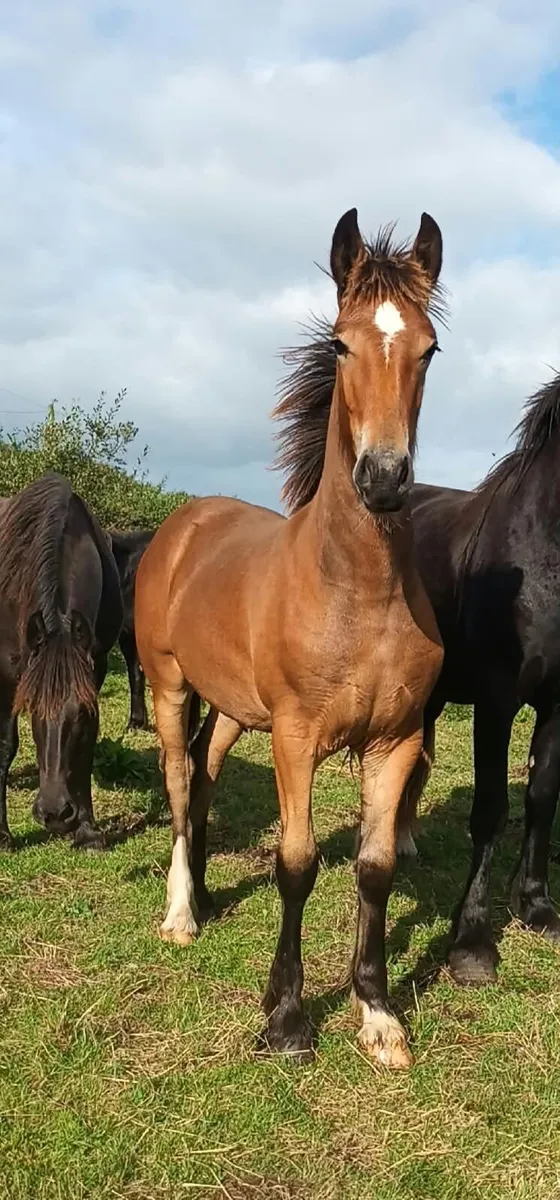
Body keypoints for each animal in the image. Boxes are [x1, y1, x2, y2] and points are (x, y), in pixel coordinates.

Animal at [0, 473, 123, 850]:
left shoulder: (95, 665)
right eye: (32, 711)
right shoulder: (9, 674)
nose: (54, 814)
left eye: (80, 714)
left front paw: (85, 830)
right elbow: (6, 745)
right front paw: (3, 835)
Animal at [135, 207, 446, 1069]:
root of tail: (185, 522)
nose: (384, 479)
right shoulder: (297, 737)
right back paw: (181, 914)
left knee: (205, 774)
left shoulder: (396, 740)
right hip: (170, 687)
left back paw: (208, 891)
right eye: (339, 344)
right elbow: (298, 862)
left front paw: (378, 1015)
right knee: (178, 785)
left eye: (429, 349)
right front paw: (287, 1020)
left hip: (233, 710)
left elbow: (375, 867)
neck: (357, 591)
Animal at [392, 375, 560, 984]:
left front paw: (535, 905)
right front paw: (472, 942)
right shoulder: (495, 701)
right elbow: (490, 809)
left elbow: (541, 795)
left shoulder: (558, 703)